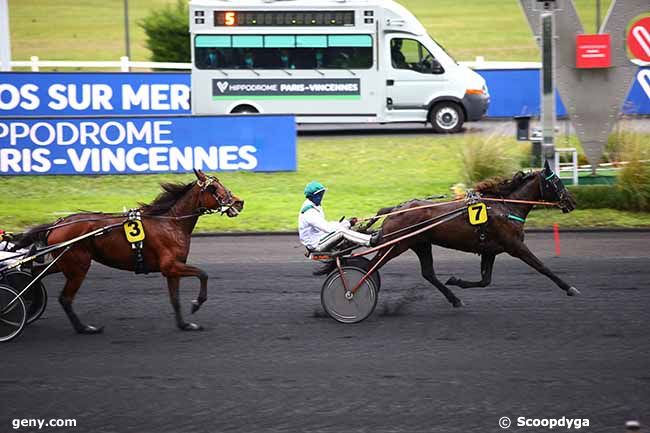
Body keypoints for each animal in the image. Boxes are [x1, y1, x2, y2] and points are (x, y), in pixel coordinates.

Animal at [15, 170, 243, 334]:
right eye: (213, 187)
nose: (239, 202)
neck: (170, 223)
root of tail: (56, 224)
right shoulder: (171, 266)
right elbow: (203, 274)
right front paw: (196, 304)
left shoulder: (171, 270)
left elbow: (175, 299)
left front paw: (185, 325)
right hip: (78, 266)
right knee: (65, 298)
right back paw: (84, 328)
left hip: (64, 263)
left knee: (37, 273)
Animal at [364, 159, 576, 308]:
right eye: (556, 182)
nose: (571, 202)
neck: (506, 206)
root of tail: (395, 209)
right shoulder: (515, 246)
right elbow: (542, 267)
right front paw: (569, 287)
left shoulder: (490, 250)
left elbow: (485, 281)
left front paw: (456, 281)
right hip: (396, 245)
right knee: (371, 267)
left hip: (420, 244)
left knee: (428, 273)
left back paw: (455, 299)